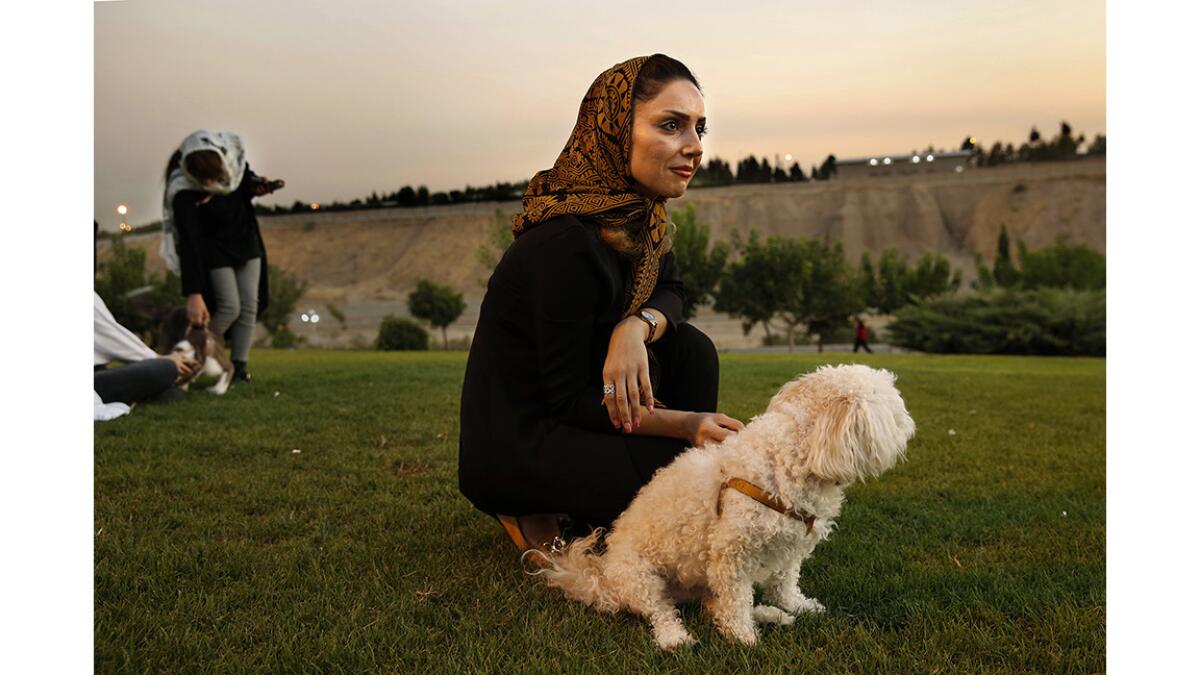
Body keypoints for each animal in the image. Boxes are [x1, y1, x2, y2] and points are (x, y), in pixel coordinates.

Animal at [530, 365, 912, 648]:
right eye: (895, 413)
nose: (911, 427)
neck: (788, 457)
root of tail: (603, 577)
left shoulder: (787, 549)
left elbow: (784, 584)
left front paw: (796, 606)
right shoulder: (732, 555)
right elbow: (736, 599)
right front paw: (742, 637)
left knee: (711, 605)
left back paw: (771, 615)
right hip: (640, 577)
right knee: (660, 610)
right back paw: (675, 638)